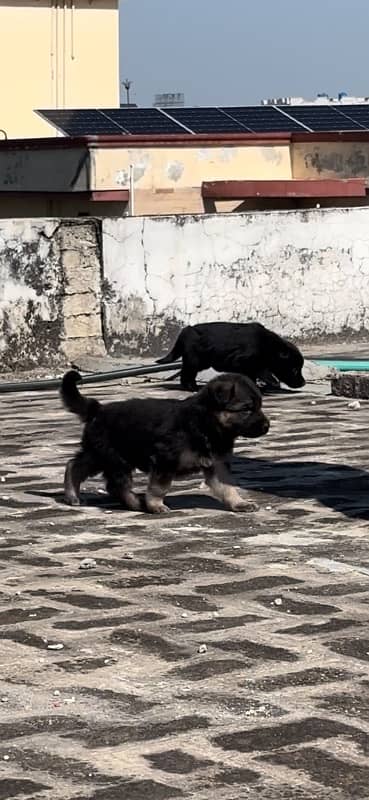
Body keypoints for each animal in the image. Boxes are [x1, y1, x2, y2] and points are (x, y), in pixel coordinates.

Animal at [59, 368, 268, 512]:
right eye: (247, 409)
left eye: (259, 406)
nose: (267, 426)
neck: (205, 424)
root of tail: (98, 409)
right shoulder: (165, 460)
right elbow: (160, 487)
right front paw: (155, 505)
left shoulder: (217, 464)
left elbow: (228, 486)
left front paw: (239, 503)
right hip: (114, 457)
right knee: (115, 484)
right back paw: (136, 502)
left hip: (100, 454)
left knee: (75, 465)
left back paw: (73, 495)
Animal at [157, 320, 304, 392]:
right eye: (294, 369)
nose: (303, 383)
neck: (269, 346)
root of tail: (185, 330)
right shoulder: (243, 361)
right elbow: (255, 374)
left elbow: (258, 374)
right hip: (195, 361)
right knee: (187, 374)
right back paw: (192, 388)